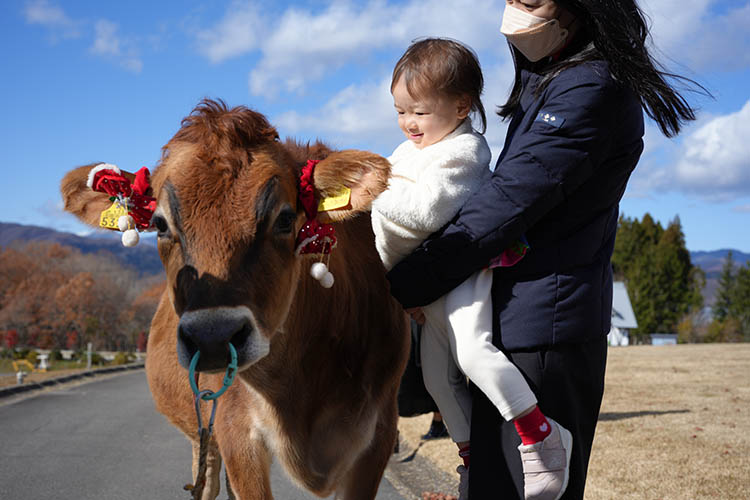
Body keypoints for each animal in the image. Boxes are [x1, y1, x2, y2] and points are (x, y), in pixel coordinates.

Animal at [61, 99, 408, 498]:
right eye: (160, 225)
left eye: (285, 219)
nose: (212, 337)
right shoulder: (234, 429)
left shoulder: (380, 432)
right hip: (203, 429)